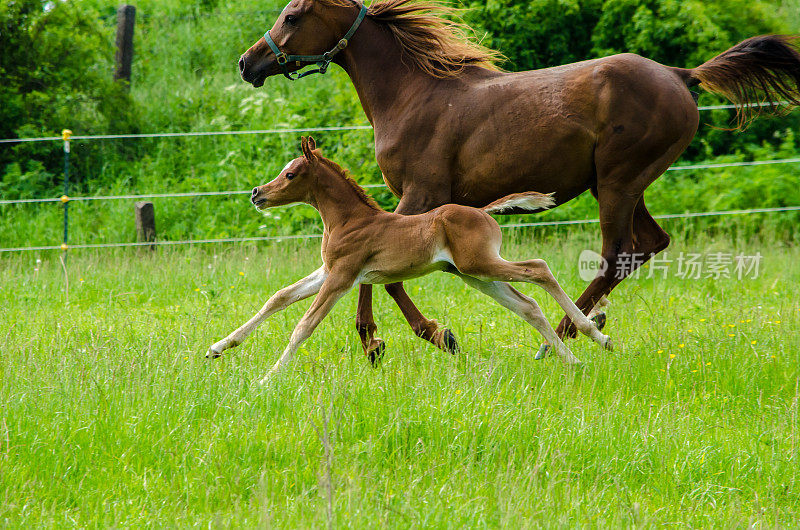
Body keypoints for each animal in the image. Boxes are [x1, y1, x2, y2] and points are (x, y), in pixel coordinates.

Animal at [209, 136, 608, 382]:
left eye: (290, 173)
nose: (257, 193)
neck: (348, 220)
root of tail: (483, 212)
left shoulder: (342, 276)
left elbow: (304, 325)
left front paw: (268, 378)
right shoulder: (327, 271)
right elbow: (277, 298)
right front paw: (217, 348)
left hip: (480, 265)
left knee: (539, 269)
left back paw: (595, 334)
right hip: (473, 274)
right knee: (528, 306)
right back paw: (574, 359)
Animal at [239, 0, 800, 358]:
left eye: (292, 15)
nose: (248, 63)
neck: (415, 93)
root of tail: (681, 75)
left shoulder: (422, 194)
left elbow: (385, 274)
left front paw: (409, 338)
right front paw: (396, 338)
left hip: (618, 182)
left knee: (616, 253)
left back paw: (566, 335)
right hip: (623, 183)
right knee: (648, 244)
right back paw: (580, 327)